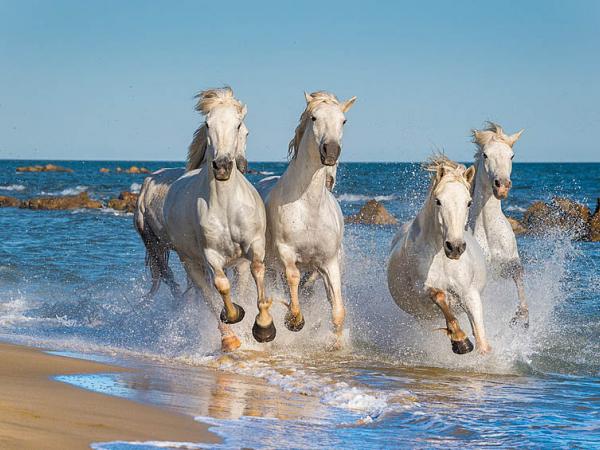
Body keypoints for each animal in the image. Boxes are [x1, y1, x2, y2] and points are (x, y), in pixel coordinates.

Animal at [137, 88, 270, 352]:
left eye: (241, 127)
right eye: (208, 124)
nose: (224, 166)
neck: (227, 205)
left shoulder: (251, 250)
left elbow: (254, 276)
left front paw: (263, 328)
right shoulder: (211, 256)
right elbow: (221, 288)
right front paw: (235, 320)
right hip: (175, 255)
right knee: (192, 288)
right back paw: (227, 337)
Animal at [264, 90, 354, 348]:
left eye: (343, 121)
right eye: (314, 118)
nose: (331, 151)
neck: (309, 207)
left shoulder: (328, 262)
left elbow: (337, 309)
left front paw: (336, 344)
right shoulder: (286, 253)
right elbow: (292, 278)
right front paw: (294, 320)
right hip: (268, 265)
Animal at [386, 156, 490, 356]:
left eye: (468, 202)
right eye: (438, 201)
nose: (455, 247)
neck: (442, 257)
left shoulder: (469, 293)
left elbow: (481, 336)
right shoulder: (422, 289)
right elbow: (440, 296)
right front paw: (461, 341)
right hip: (423, 316)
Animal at [466, 123, 528, 326]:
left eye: (512, 155)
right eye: (485, 155)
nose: (502, 185)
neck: (488, 231)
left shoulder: (508, 263)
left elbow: (519, 273)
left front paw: (522, 316)